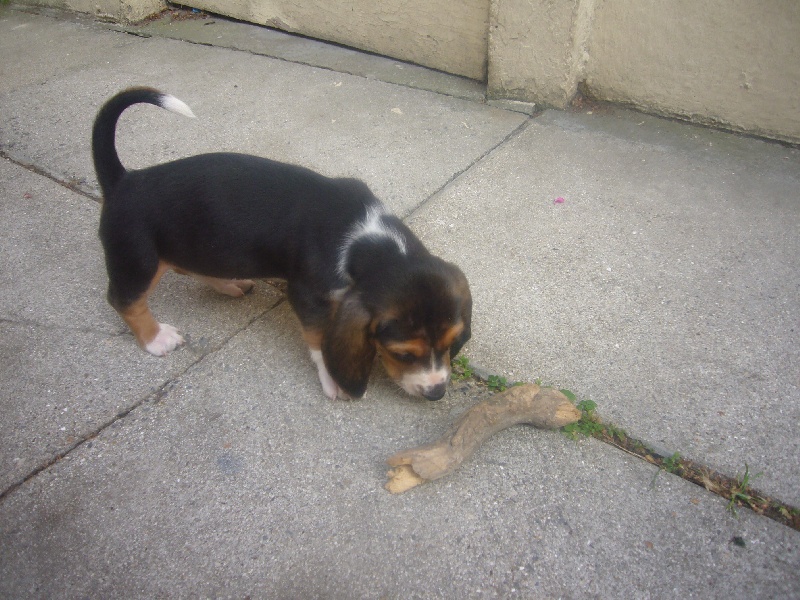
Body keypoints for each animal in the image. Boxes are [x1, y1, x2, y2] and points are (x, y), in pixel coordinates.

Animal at [92, 87, 471, 401]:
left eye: (453, 342)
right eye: (403, 354)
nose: (437, 393)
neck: (369, 236)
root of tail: (124, 180)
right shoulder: (307, 295)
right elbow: (318, 339)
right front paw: (333, 379)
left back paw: (228, 285)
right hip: (137, 258)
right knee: (125, 301)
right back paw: (156, 338)